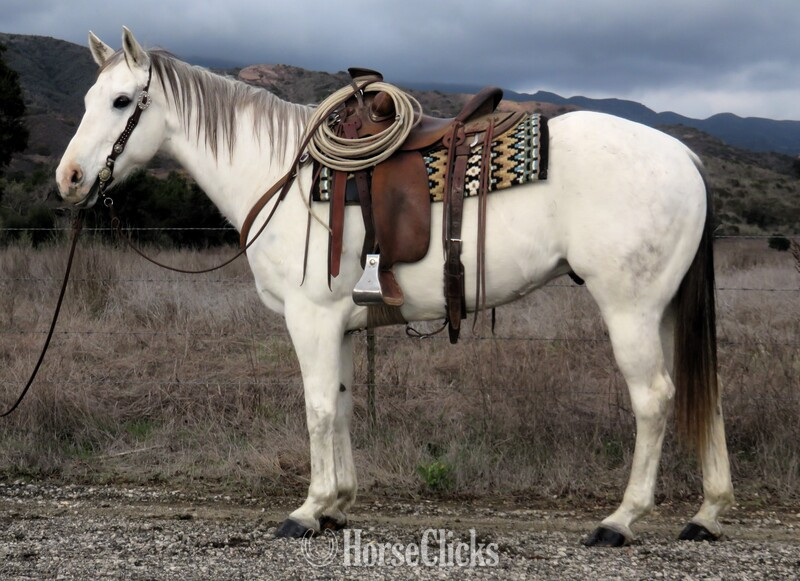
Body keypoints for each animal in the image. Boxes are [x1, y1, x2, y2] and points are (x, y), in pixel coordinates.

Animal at [55, 27, 733, 547]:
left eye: (122, 101)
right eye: (87, 97)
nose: (69, 179)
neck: (281, 175)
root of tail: (685, 157)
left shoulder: (310, 319)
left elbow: (318, 408)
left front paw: (308, 510)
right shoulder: (340, 325)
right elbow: (342, 405)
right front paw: (337, 505)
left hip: (630, 309)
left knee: (654, 399)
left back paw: (621, 520)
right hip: (664, 310)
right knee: (703, 392)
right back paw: (706, 514)